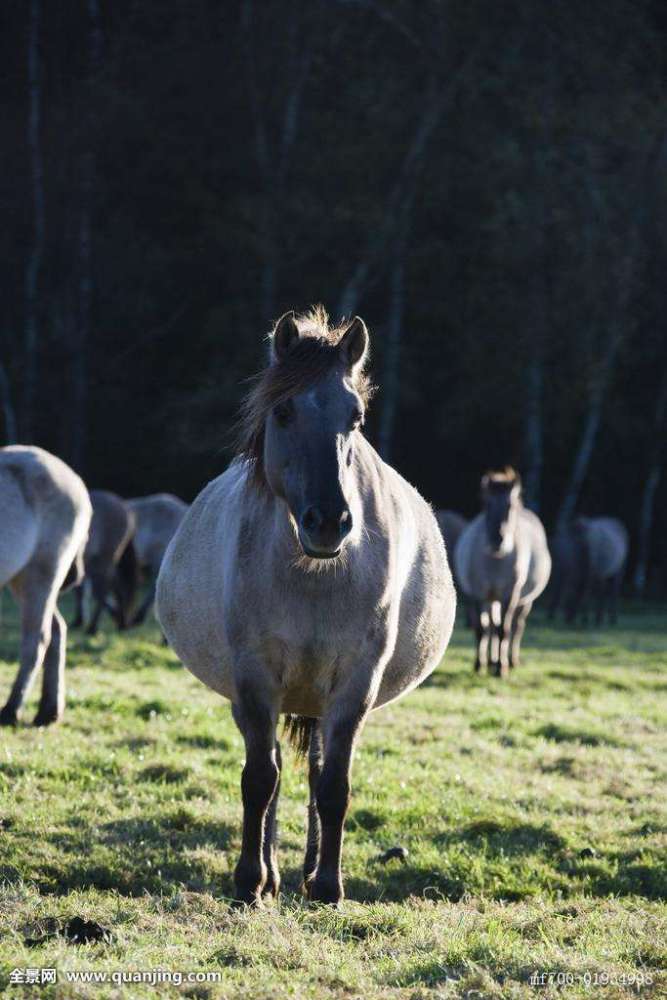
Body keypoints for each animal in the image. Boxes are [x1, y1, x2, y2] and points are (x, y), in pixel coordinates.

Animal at [0, 446, 90, 728]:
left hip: (41, 574)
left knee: (38, 638)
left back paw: (11, 710)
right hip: (21, 580)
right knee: (57, 629)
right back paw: (48, 711)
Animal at [71, 488, 139, 636]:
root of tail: (125, 508)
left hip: (104, 561)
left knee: (104, 589)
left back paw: (93, 627)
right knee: (114, 586)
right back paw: (120, 622)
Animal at [158, 306, 460, 908]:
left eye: (357, 417)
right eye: (283, 411)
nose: (329, 522)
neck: (314, 578)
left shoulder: (354, 684)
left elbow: (333, 786)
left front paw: (327, 885)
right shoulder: (254, 679)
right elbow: (260, 780)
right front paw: (249, 881)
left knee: (317, 772)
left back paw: (306, 870)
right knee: (272, 769)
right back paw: (273, 874)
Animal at [454, 470, 552, 680]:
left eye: (510, 505)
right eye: (486, 504)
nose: (497, 540)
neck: (495, 561)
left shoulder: (509, 594)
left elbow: (504, 631)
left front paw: (501, 668)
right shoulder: (478, 594)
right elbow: (482, 629)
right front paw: (479, 665)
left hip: (523, 601)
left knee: (516, 626)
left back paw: (511, 660)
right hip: (492, 598)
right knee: (491, 626)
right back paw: (490, 661)